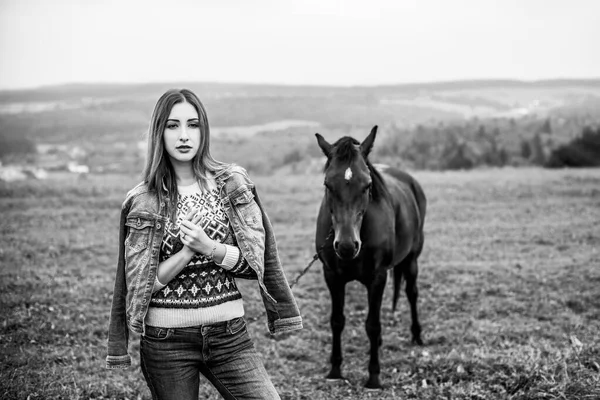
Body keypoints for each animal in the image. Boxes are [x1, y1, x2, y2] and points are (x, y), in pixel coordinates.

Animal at [314, 125, 426, 388]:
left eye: (367, 185)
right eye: (327, 184)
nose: (346, 246)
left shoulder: (378, 277)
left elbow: (373, 325)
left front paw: (374, 376)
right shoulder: (332, 276)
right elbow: (337, 320)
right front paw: (335, 370)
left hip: (412, 259)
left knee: (412, 293)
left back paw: (416, 335)